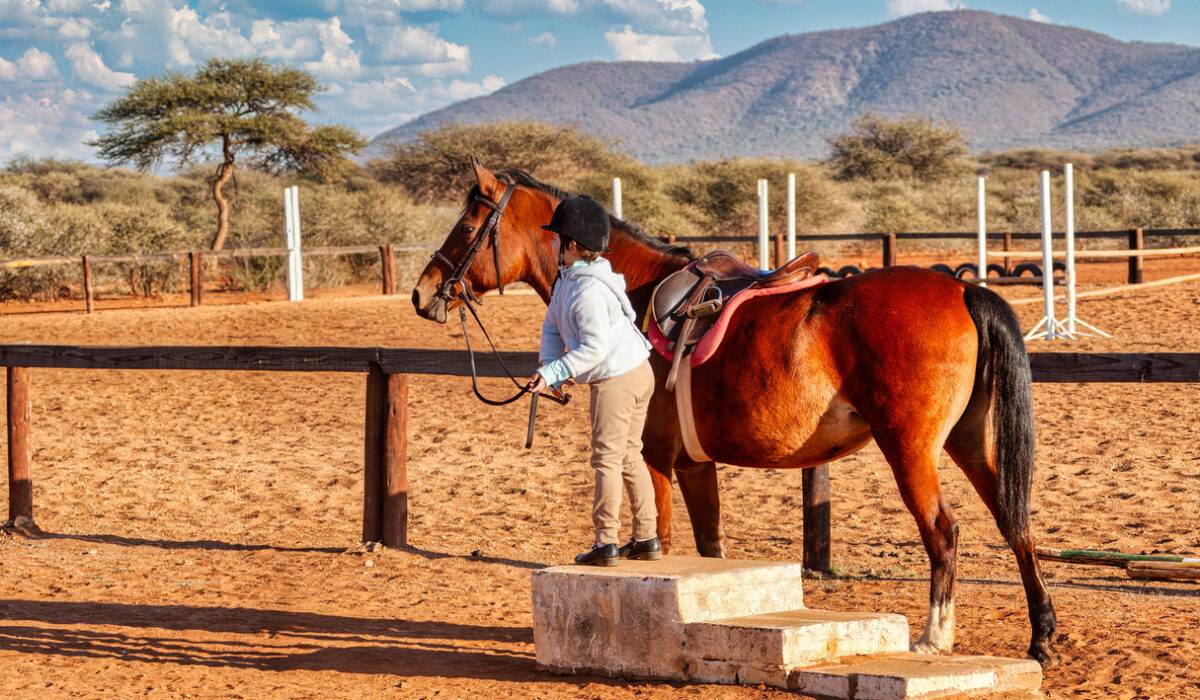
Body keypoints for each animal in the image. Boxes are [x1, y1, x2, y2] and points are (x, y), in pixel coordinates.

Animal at [412, 158, 1059, 667]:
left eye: (467, 226)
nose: (423, 293)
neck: (636, 294)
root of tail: (962, 290)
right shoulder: (696, 466)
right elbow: (710, 549)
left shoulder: (654, 458)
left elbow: (663, 538)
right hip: (970, 442)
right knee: (1015, 521)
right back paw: (1041, 636)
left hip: (910, 447)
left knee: (944, 531)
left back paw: (933, 637)